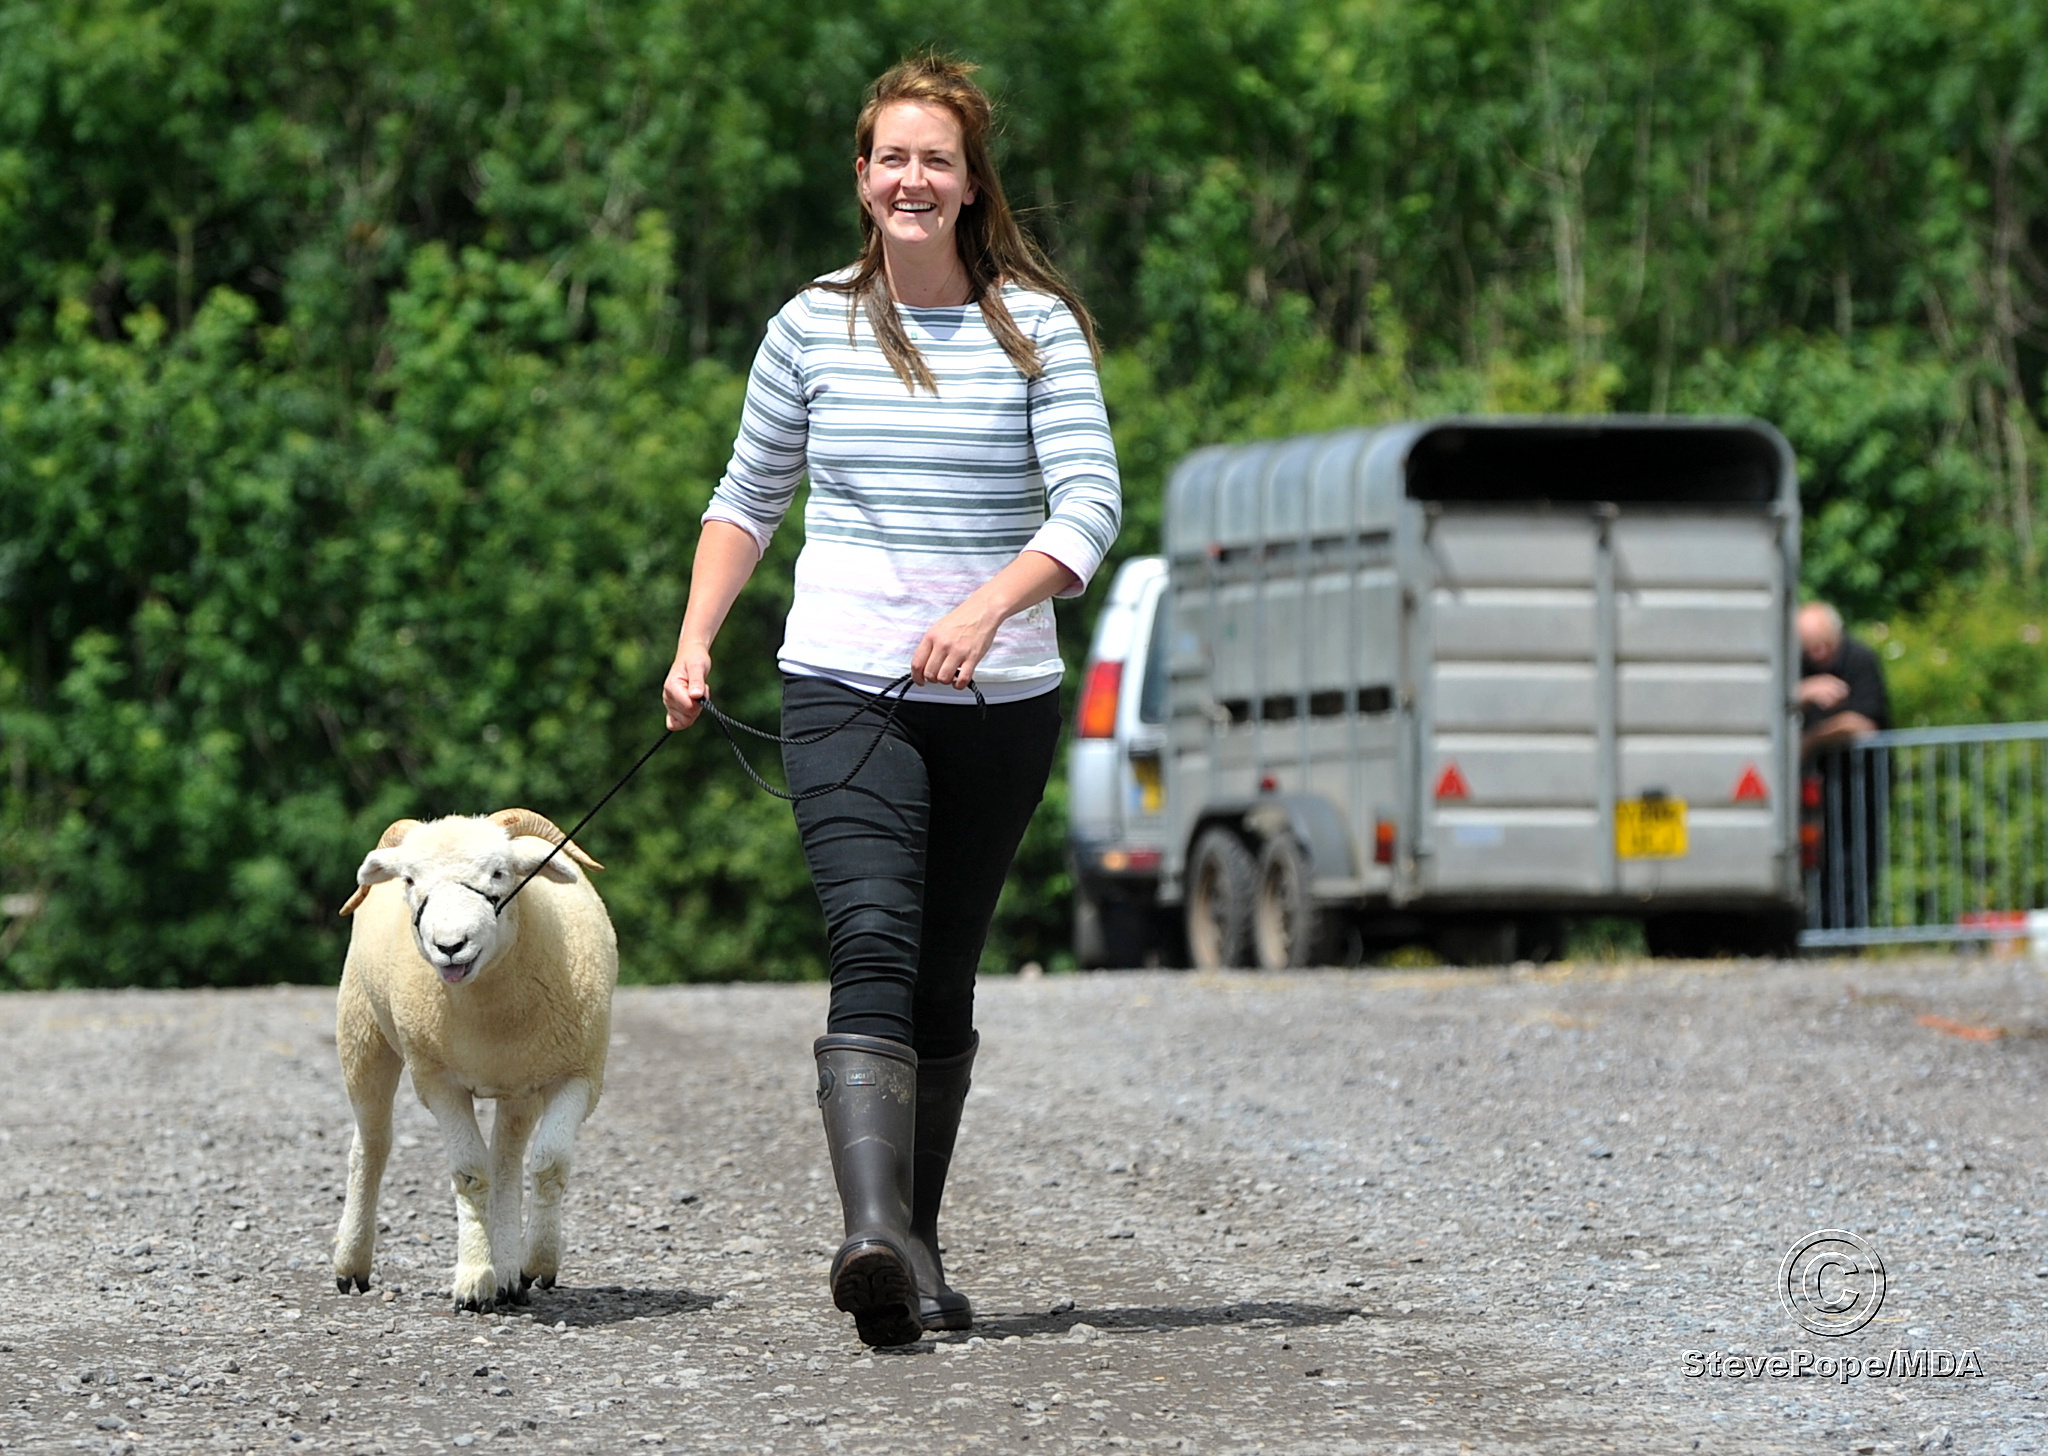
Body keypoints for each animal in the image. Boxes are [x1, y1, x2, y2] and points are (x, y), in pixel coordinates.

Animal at [330, 807, 618, 1312]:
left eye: (500, 873)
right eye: (410, 880)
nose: (450, 945)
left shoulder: (580, 1073)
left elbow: (549, 1164)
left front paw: (536, 1262)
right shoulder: (437, 1082)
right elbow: (469, 1174)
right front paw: (474, 1281)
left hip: (520, 1086)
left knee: (507, 1161)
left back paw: (510, 1276)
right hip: (361, 1032)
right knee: (372, 1145)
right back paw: (352, 1263)